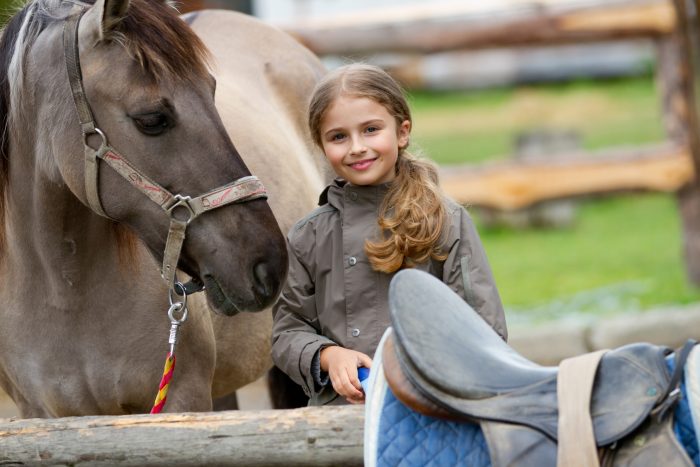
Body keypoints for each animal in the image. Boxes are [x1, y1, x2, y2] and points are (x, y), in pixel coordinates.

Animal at [0, 0, 326, 420]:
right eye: (153, 120)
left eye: (213, 92)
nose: (268, 263)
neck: (63, 293)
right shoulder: (42, 414)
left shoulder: (181, 400)